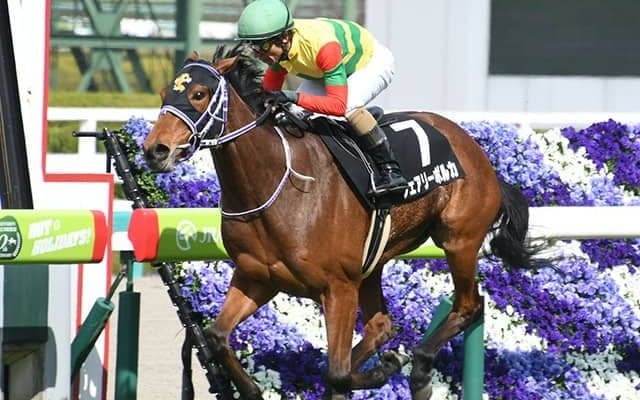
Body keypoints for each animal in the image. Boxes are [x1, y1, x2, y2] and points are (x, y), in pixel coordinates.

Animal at [142, 44, 540, 399]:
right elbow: (217, 336)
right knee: (381, 326)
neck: (275, 185)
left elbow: (337, 375)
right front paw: (252, 390)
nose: (155, 150)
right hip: (374, 262)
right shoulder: (257, 277)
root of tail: (474, 149)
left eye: (198, 94)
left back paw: (420, 371)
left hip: (459, 240)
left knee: (468, 305)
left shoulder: (338, 287)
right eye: (163, 93)